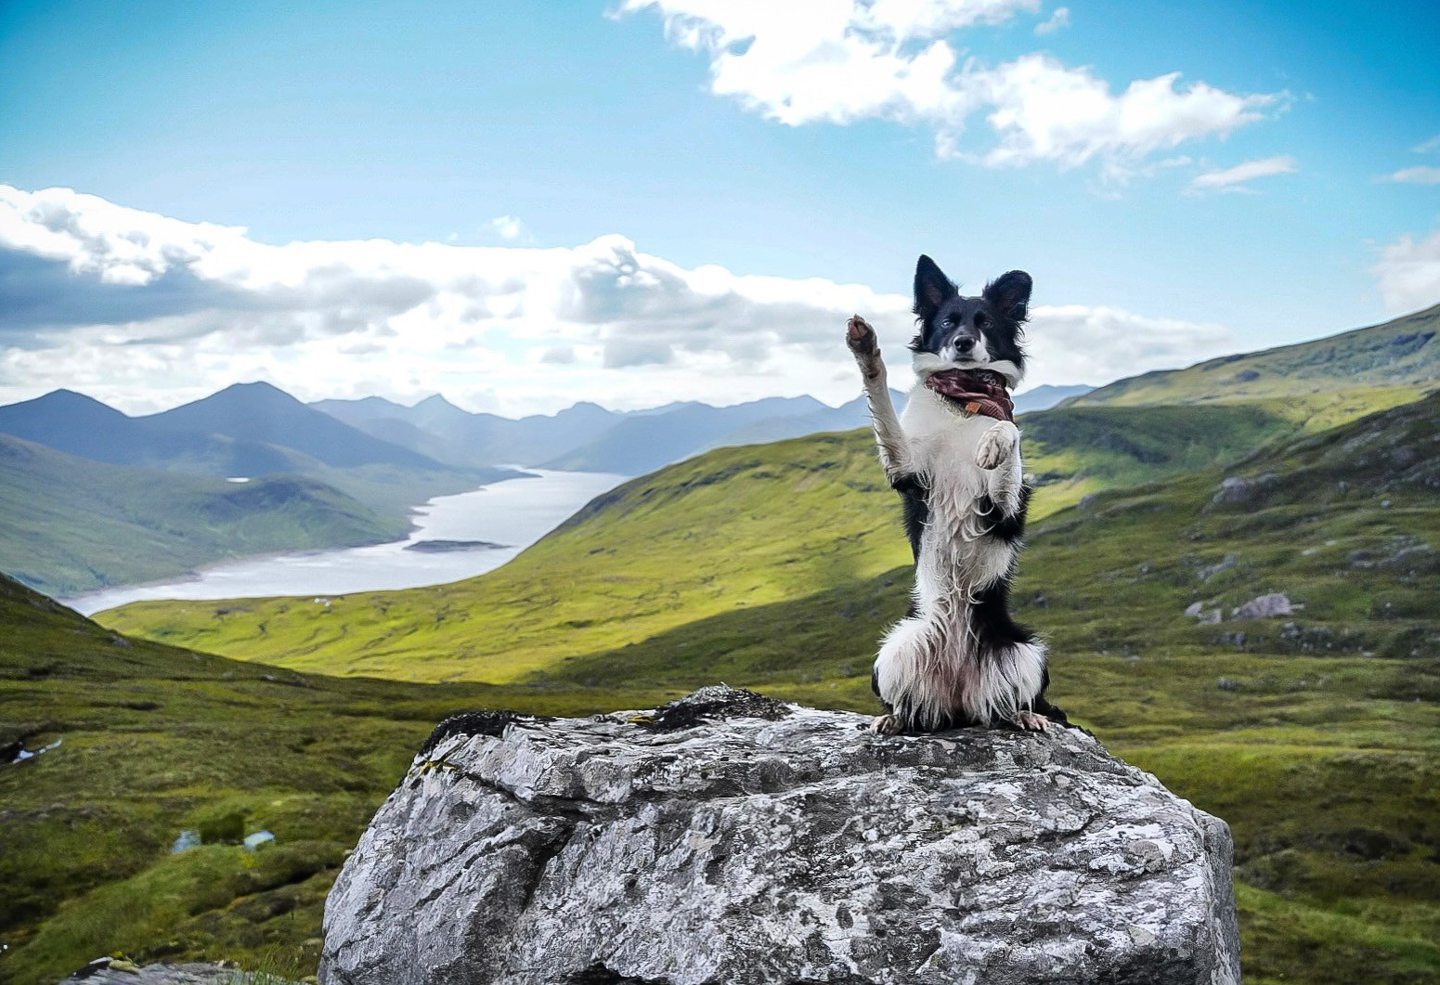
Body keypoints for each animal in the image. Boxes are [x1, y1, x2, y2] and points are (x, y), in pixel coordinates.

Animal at [840, 257, 1071, 734]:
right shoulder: (905, 467)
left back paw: (1024, 714)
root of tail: (957, 695)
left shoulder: (1003, 507)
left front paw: (994, 442)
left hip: (1027, 652)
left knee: (1005, 702)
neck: (962, 402)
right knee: (910, 704)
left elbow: (1009, 432)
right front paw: (866, 348)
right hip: (893, 649)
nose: (964, 342)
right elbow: (881, 398)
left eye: (986, 323)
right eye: (948, 322)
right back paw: (893, 719)